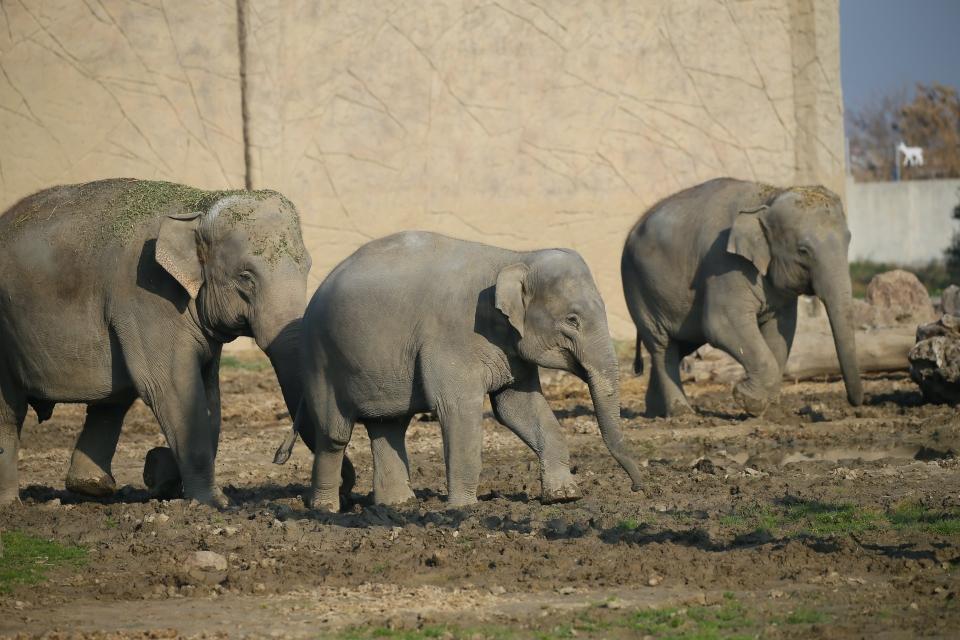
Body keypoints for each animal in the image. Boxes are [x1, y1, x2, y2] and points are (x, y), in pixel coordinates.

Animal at [0, 179, 346, 504]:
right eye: (245, 277)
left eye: (307, 267)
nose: (280, 456)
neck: (198, 205)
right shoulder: (146, 295)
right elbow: (171, 387)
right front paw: (214, 502)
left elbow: (207, 395)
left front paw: (168, 478)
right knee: (10, 411)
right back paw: (13, 503)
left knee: (113, 400)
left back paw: (92, 486)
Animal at [620, 178, 868, 418]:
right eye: (803, 250)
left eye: (849, 241)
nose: (856, 405)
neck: (768, 197)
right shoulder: (724, 265)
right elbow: (721, 325)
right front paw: (747, 400)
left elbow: (782, 331)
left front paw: (770, 411)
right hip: (639, 290)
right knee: (663, 347)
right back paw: (682, 414)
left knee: (680, 345)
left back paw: (656, 413)